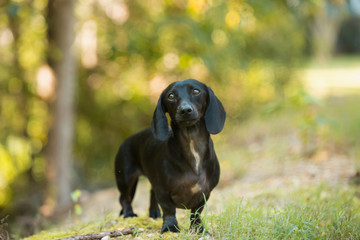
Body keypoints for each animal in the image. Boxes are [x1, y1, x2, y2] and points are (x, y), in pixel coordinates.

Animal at [114, 79, 225, 232]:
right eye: (171, 96)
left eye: (196, 91)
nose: (185, 110)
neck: (192, 144)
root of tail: (126, 141)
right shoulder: (163, 191)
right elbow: (168, 209)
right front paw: (170, 227)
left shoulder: (205, 193)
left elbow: (196, 212)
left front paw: (197, 228)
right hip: (125, 178)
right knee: (124, 199)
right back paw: (129, 214)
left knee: (151, 194)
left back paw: (154, 213)